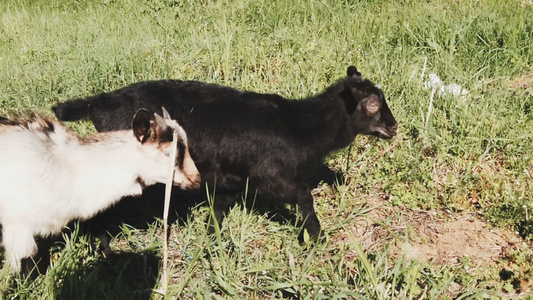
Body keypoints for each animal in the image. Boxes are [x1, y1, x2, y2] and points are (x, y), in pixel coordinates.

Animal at [54, 66, 394, 241]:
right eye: (372, 105)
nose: (394, 127)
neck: (300, 125)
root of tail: (97, 103)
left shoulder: (230, 179)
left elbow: (218, 212)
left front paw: (217, 245)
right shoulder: (268, 174)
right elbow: (303, 195)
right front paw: (316, 236)